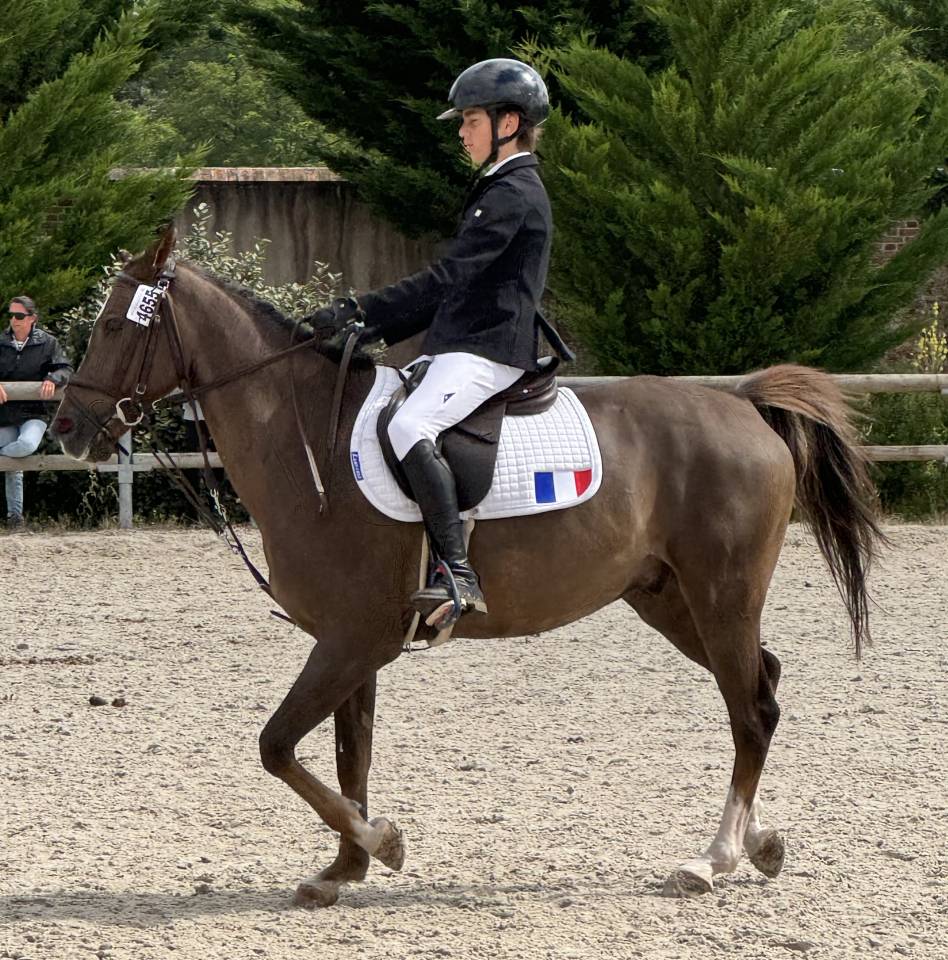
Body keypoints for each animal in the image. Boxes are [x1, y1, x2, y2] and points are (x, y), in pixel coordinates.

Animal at [54, 228, 884, 906]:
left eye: (109, 326)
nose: (66, 426)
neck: (304, 435)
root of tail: (742, 404)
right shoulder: (352, 641)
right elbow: (348, 753)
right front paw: (344, 867)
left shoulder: (354, 638)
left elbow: (278, 746)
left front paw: (381, 843)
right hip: (670, 600)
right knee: (762, 688)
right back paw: (759, 846)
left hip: (721, 596)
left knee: (750, 711)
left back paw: (711, 861)